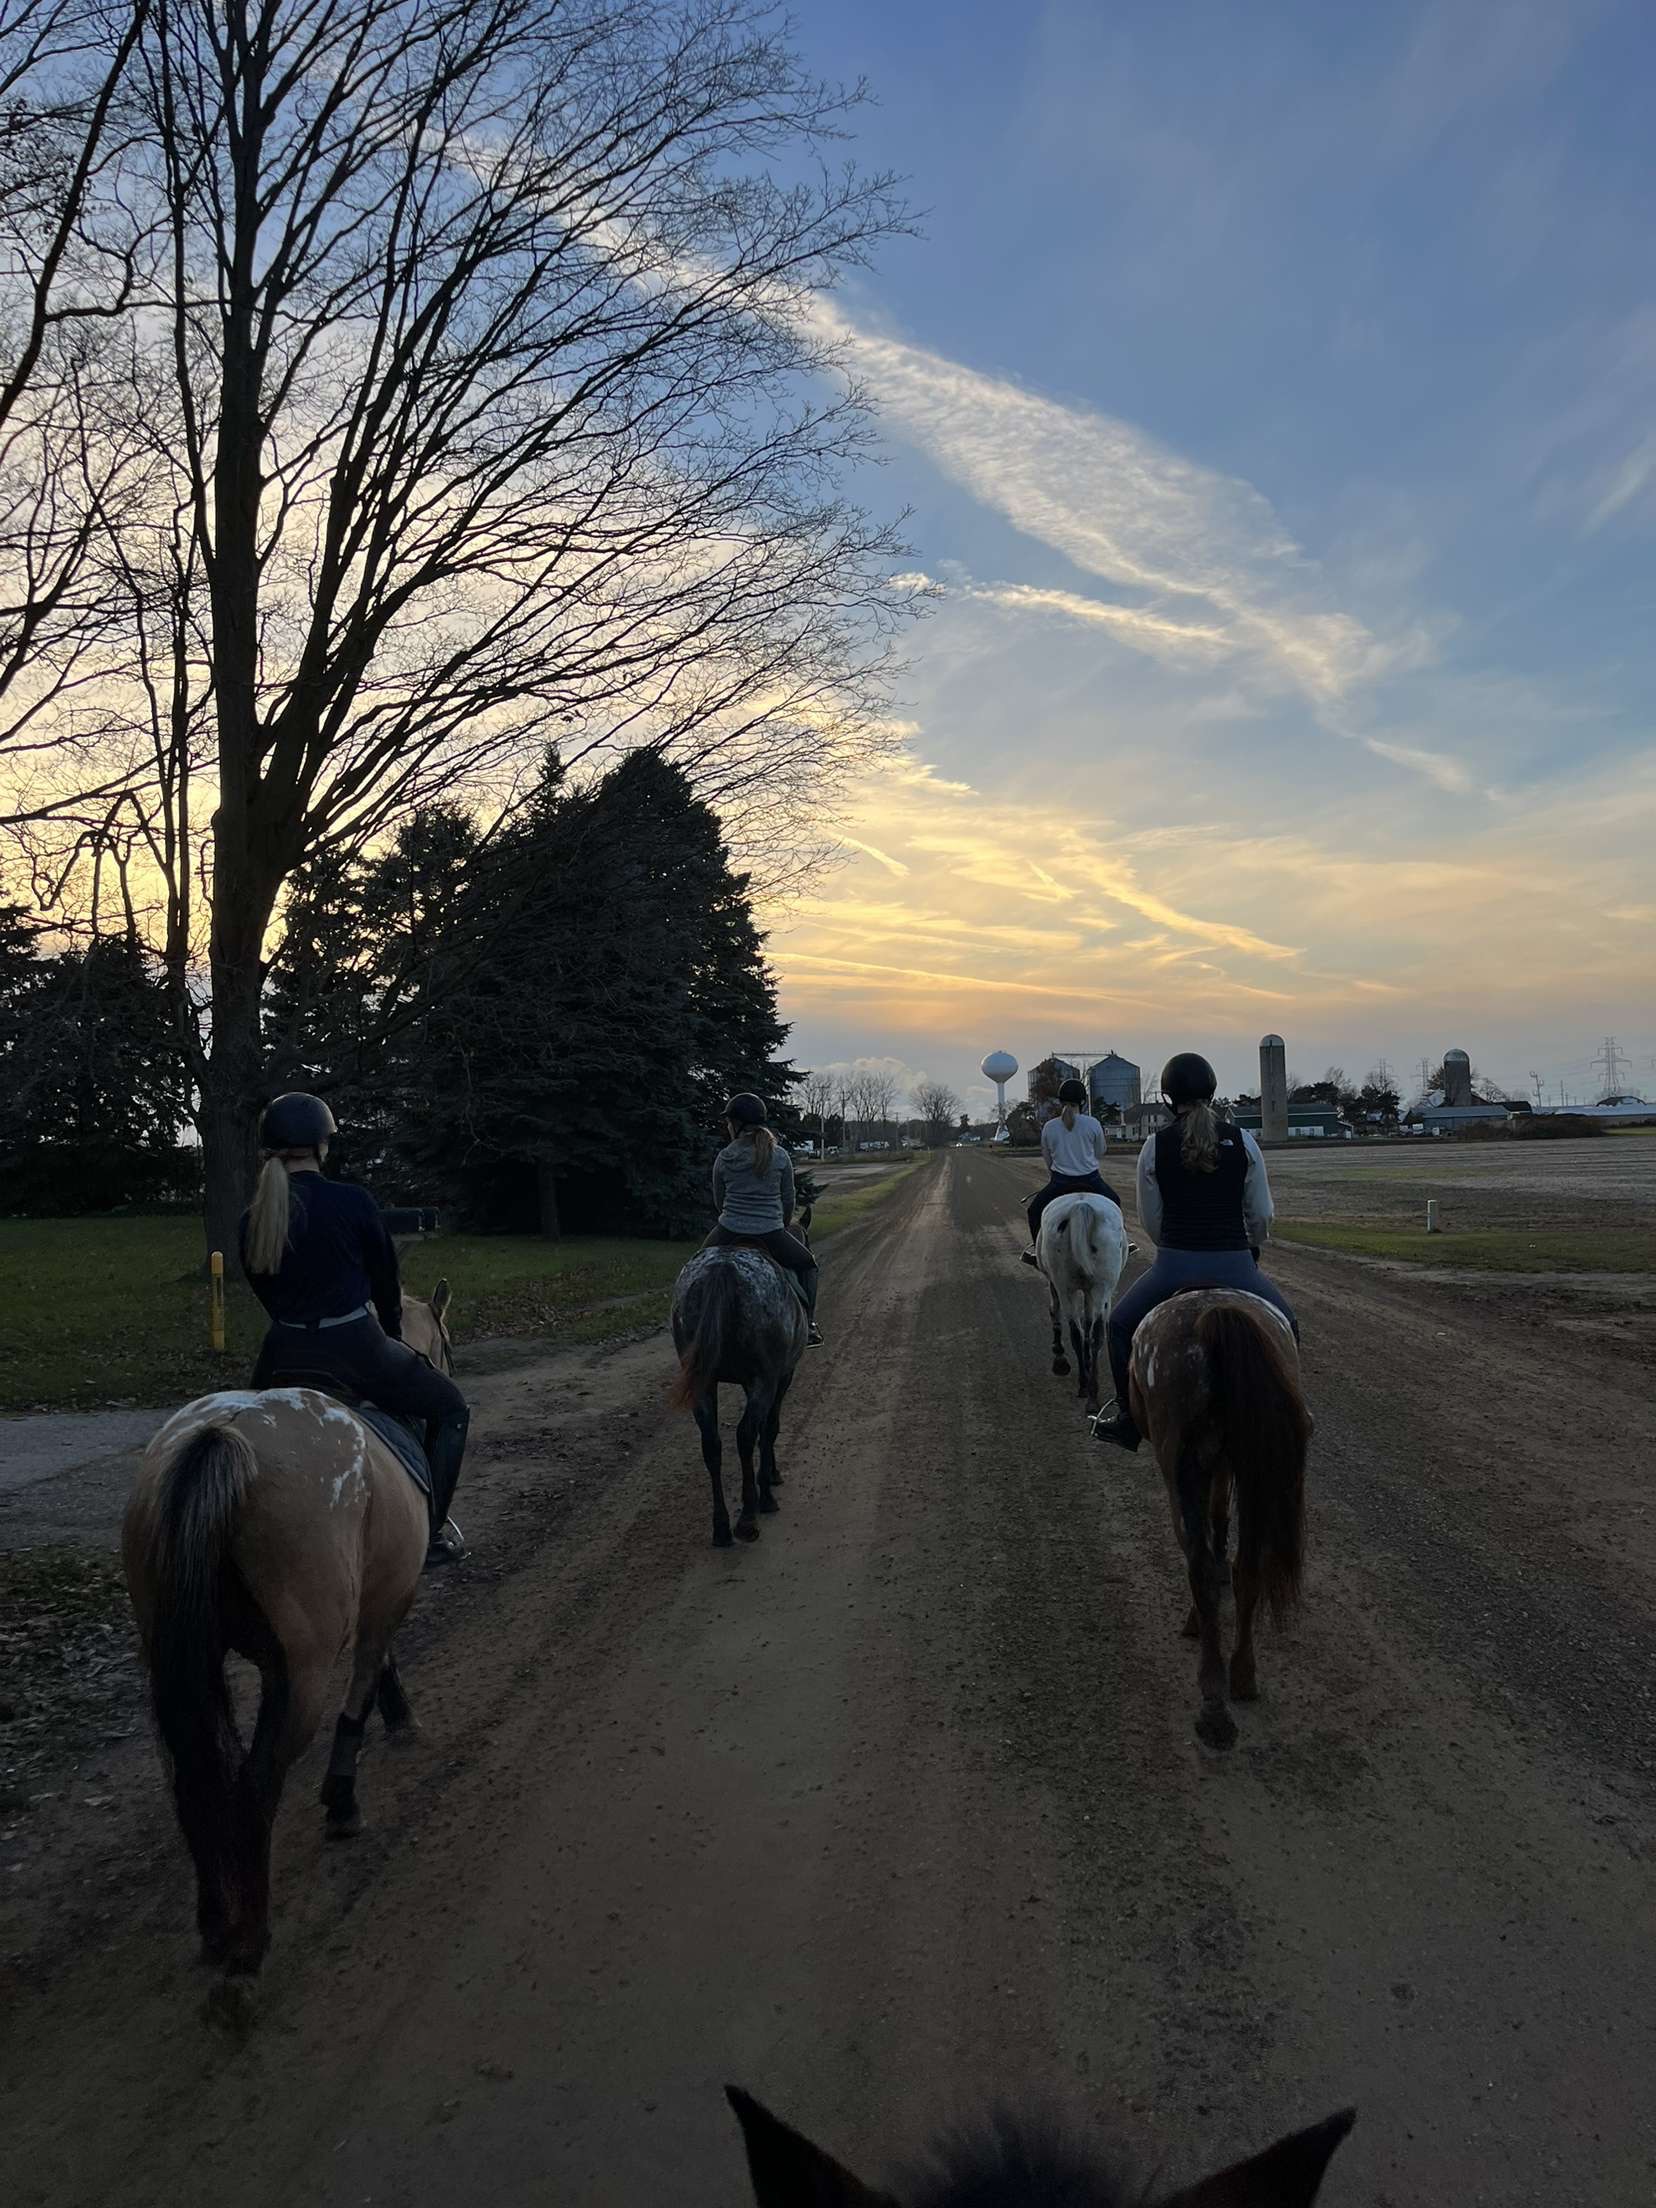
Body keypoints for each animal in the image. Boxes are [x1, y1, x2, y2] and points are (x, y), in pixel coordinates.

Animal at [666, 1218, 812, 1545]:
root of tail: (723, 1270)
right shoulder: (780, 1377)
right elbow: (770, 1428)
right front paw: (769, 1482)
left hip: (704, 1382)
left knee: (712, 1443)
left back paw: (721, 1527)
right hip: (764, 1380)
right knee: (745, 1435)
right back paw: (749, 1517)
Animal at [1037, 1192, 1130, 1413]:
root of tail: (1081, 1206)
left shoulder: (1056, 1284)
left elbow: (1056, 1311)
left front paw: (1059, 1354)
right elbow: (1088, 1324)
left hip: (1068, 1288)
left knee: (1077, 1330)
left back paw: (1084, 1384)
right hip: (1099, 1287)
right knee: (1092, 1333)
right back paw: (1091, 1393)